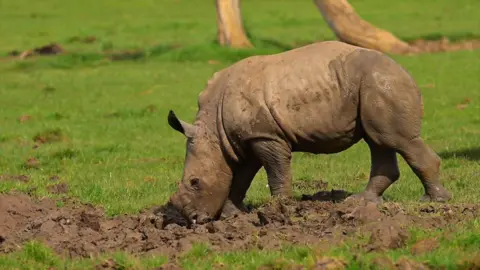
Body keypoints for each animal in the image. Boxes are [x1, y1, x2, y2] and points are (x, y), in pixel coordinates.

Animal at [167, 40, 452, 225]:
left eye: (195, 182)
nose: (194, 220)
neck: (213, 132)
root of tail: (404, 70)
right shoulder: (247, 138)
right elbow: (241, 178)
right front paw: (232, 216)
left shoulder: (265, 135)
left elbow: (276, 173)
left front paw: (279, 211)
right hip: (372, 85)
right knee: (378, 142)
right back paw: (360, 203)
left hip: (382, 83)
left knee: (397, 139)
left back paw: (433, 202)